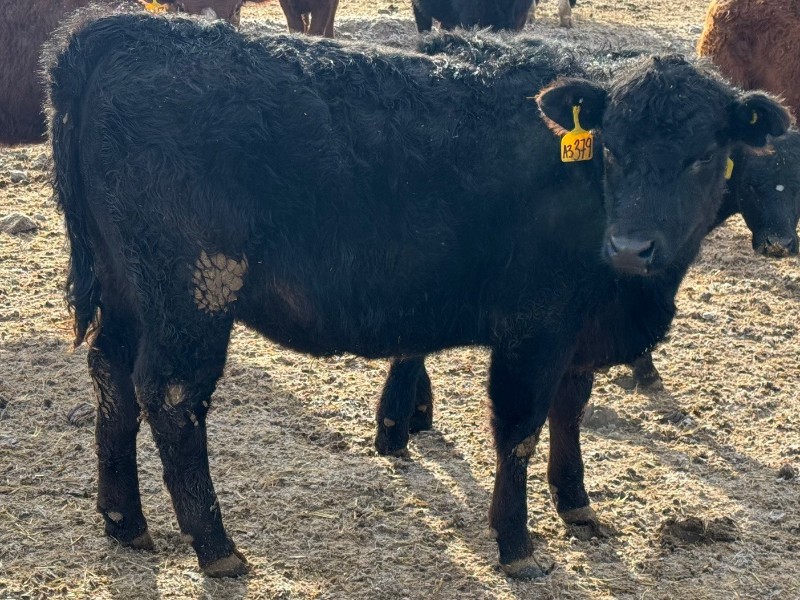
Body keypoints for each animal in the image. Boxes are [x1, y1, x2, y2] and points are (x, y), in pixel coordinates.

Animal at [45, 11, 789, 578]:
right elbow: (520, 426)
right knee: (171, 396)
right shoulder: (535, 324)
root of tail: (124, 29)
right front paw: (517, 545)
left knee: (111, 377)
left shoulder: (579, 331)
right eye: (610, 148)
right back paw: (216, 546)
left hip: (128, 287)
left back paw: (124, 521)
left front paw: (577, 505)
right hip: (192, 290)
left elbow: (569, 411)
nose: (630, 248)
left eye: (703, 155)